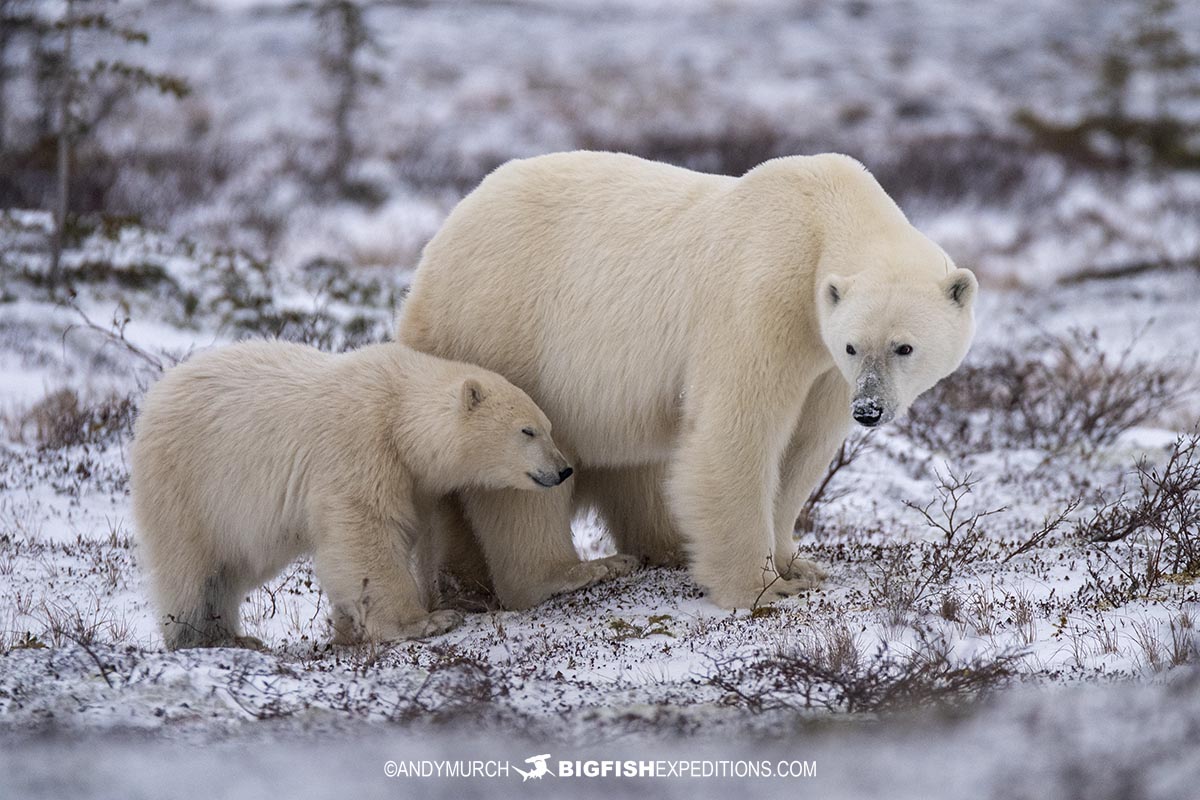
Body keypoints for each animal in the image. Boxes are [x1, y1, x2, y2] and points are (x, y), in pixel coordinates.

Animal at [133, 340, 600, 652]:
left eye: (549, 427)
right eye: (528, 430)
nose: (563, 469)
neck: (399, 411)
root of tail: (153, 397)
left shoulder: (413, 479)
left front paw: (347, 629)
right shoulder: (361, 445)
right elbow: (366, 532)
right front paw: (427, 621)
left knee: (233, 567)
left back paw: (235, 636)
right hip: (189, 483)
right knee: (193, 569)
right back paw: (202, 637)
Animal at [398, 153, 979, 609]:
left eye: (904, 347)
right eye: (858, 345)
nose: (869, 410)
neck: (821, 214)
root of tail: (438, 241)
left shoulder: (824, 363)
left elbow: (804, 448)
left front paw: (798, 563)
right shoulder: (764, 298)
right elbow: (739, 432)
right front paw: (763, 587)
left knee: (631, 466)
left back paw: (664, 544)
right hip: (500, 329)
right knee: (516, 478)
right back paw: (574, 571)